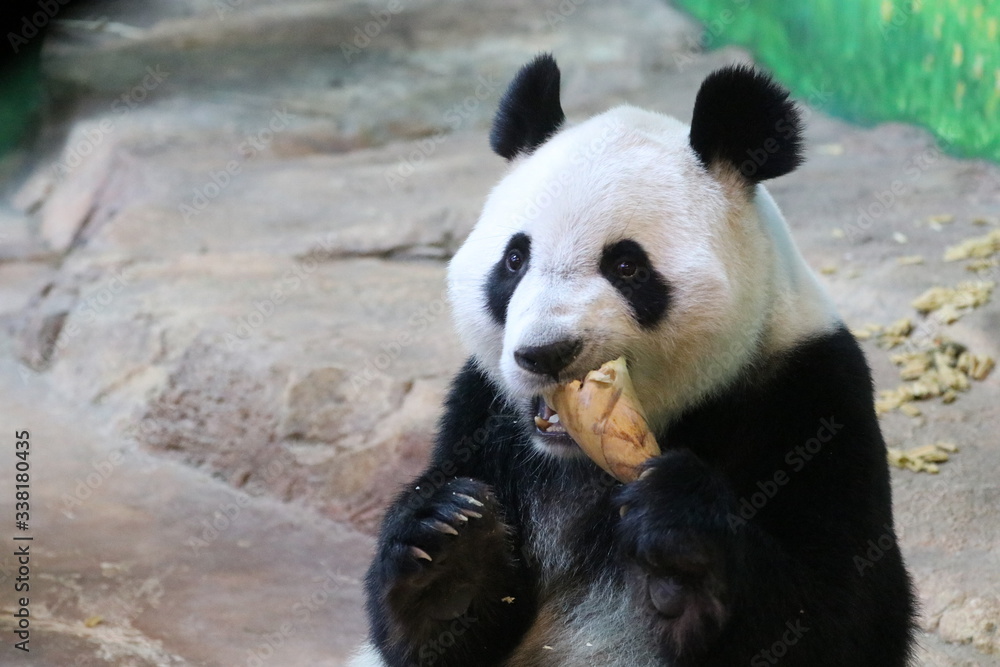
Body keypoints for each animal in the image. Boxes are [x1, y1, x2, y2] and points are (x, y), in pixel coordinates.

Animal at [352, 54, 916, 667]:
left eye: (626, 266)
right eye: (514, 259)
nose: (545, 352)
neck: (581, 462)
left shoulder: (810, 393)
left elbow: (845, 612)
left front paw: (681, 537)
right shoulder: (481, 412)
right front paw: (448, 552)